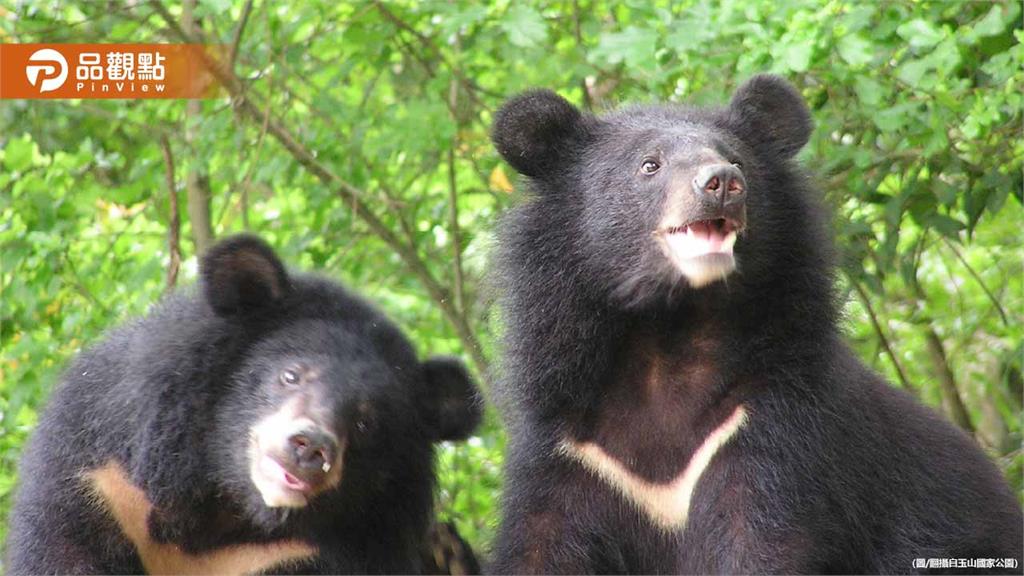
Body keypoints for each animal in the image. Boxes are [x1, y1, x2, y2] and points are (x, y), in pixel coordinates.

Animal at [6, 234, 483, 575]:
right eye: (290, 375)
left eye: (367, 423)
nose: (310, 447)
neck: (225, 508)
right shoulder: (105, 486)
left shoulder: (303, 555)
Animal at [487, 75, 1023, 574]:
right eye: (649, 165)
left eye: (737, 161)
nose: (721, 182)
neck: (669, 334)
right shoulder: (570, 450)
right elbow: (542, 547)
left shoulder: (770, 430)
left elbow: (760, 543)